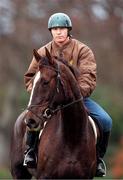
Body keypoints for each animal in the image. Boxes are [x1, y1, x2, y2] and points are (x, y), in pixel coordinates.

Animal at [10, 47, 99, 179]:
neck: (72, 138)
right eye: (32, 81)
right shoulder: (45, 176)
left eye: (45, 82)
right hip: (19, 173)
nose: (30, 120)